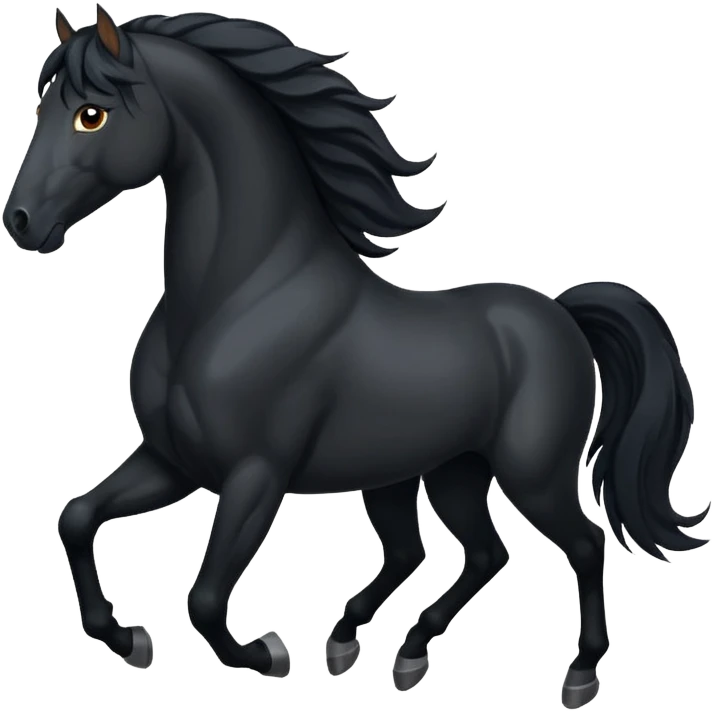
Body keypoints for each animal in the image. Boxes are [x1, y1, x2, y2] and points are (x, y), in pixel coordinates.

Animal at [4, 7, 707, 706]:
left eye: (90, 114)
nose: (21, 222)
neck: (234, 299)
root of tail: (560, 314)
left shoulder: (256, 474)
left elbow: (203, 599)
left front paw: (268, 652)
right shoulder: (173, 461)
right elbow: (77, 517)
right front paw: (129, 639)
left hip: (534, 474)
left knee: (583, 546)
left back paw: (579, 674)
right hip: (437, 472)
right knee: (462, 554)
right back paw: (381, 649)